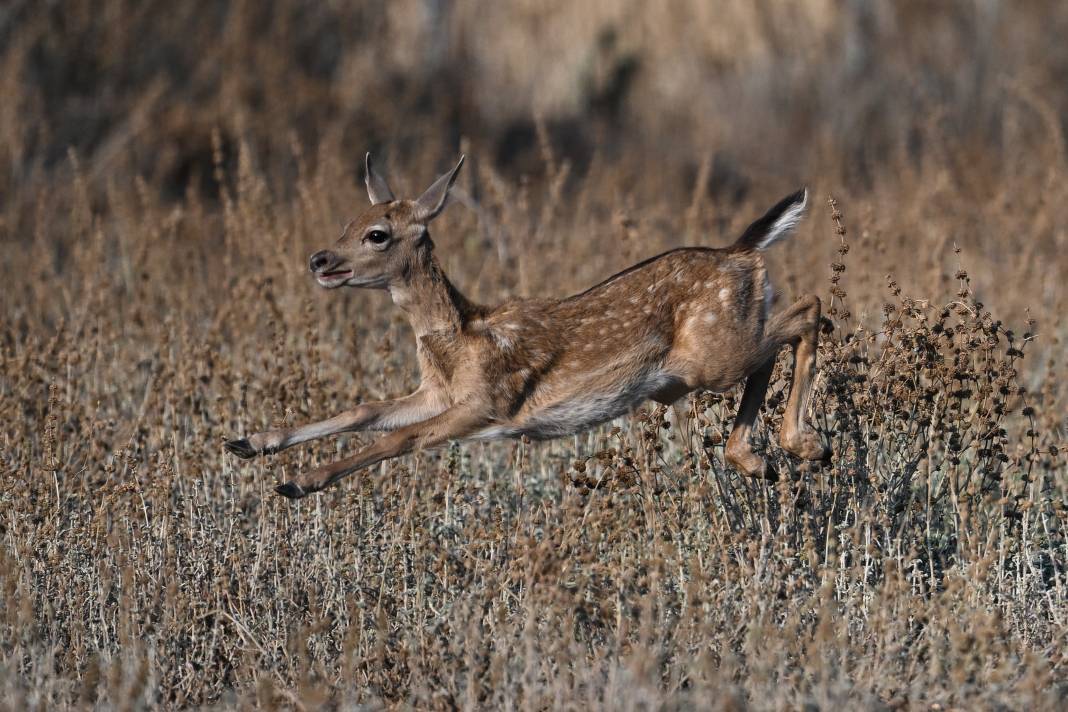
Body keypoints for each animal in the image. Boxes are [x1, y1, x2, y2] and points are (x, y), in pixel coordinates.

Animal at [223, 154, 824, 501]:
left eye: (377, 234)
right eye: (348, 222)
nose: (319, 260)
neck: (460, 338)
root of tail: (742, 251)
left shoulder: (489, 402)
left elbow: (400, 438)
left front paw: (300, 481)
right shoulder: (437, 392)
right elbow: (365, 410)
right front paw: (250, 442)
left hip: (714, 354)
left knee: (807, 310)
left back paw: (801, 446)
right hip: (710, 356)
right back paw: (758, 460)